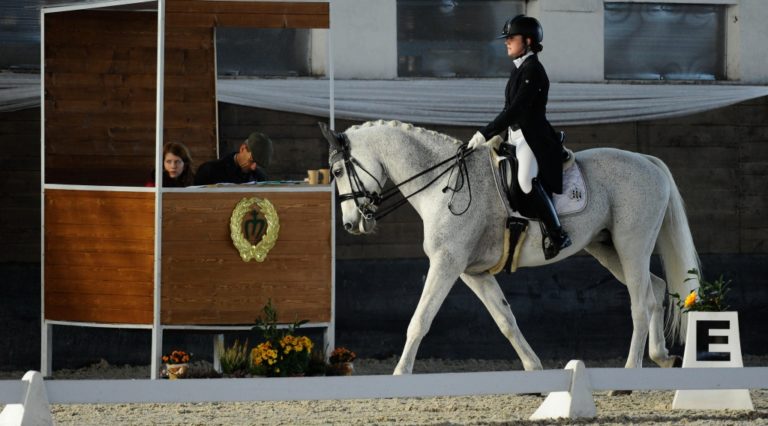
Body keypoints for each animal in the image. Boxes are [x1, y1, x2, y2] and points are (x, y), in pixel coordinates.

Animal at [320, 118, 700, 374]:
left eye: (337, 171)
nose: (351, 224)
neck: (444, 183)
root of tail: (647, 161)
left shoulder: (446, 263)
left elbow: (420, 320)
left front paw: (400, 374)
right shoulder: (472, 272)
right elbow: (506, 320)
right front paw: (534, 369)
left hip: (631, 245)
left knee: (640, 303)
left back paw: (630, 372)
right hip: (606, 248)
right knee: (656, 289)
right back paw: (662, 357)